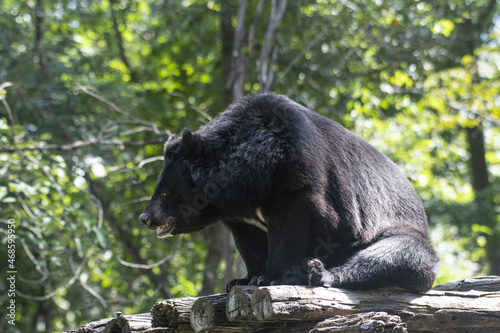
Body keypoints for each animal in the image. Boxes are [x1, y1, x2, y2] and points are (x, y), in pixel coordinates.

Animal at [140, 93, 438, 290]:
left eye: (164, 192)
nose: (145, 218)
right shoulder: (239, 214)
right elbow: (250, 240)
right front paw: (244, 279)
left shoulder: (296, 170)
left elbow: (290, 225)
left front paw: (270, 276)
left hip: (397, 231)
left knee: (395, 255)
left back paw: (320, 273)